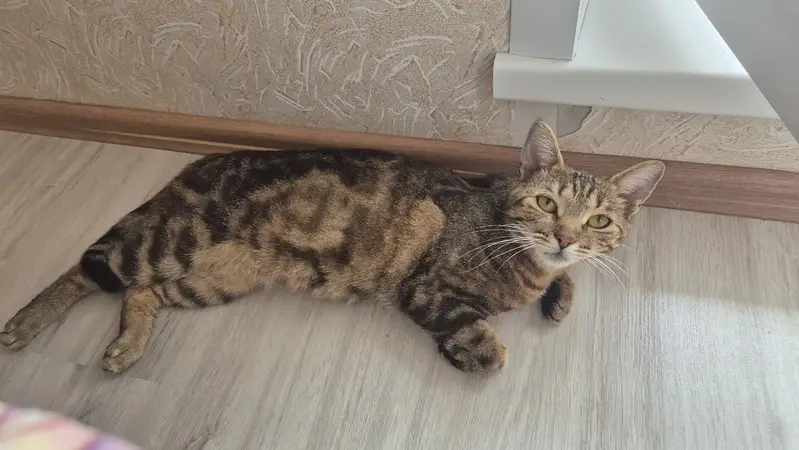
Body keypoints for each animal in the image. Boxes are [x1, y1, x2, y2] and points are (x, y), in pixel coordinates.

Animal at [0, 121, 664, 375]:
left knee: (141, 292)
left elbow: (568, 277)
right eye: (547, 203)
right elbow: (486, 346)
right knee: (88, 270)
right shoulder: (425, 288)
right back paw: (24, 325)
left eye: (599, 220)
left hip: (215, 279)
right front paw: (473, 352)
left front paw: (560, 294)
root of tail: (199, 162)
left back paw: (127, 346)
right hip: (174, 240)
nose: (565, 236)